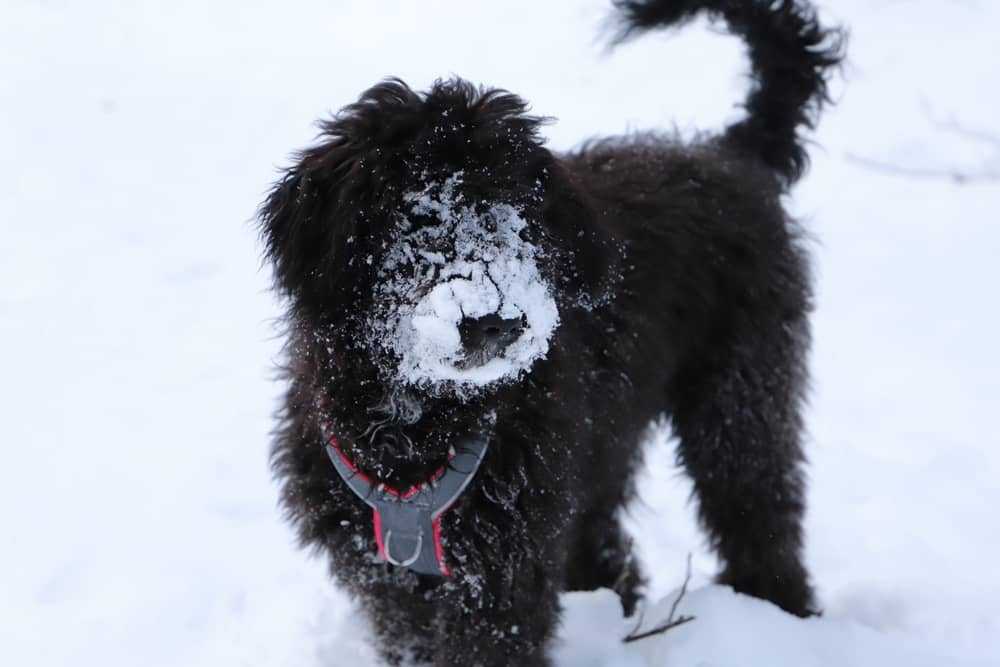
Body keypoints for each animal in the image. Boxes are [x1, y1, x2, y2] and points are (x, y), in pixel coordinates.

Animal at [260, 2, 844, 664]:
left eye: (518, 218)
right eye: (418, 217)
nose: (495, 321)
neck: (421, 423)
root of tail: (731, 153)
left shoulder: (503, 572)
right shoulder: (382, 568)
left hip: (739, 394)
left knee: (759, 508)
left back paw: (780, 612)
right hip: (604, 439)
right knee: (608, 537)